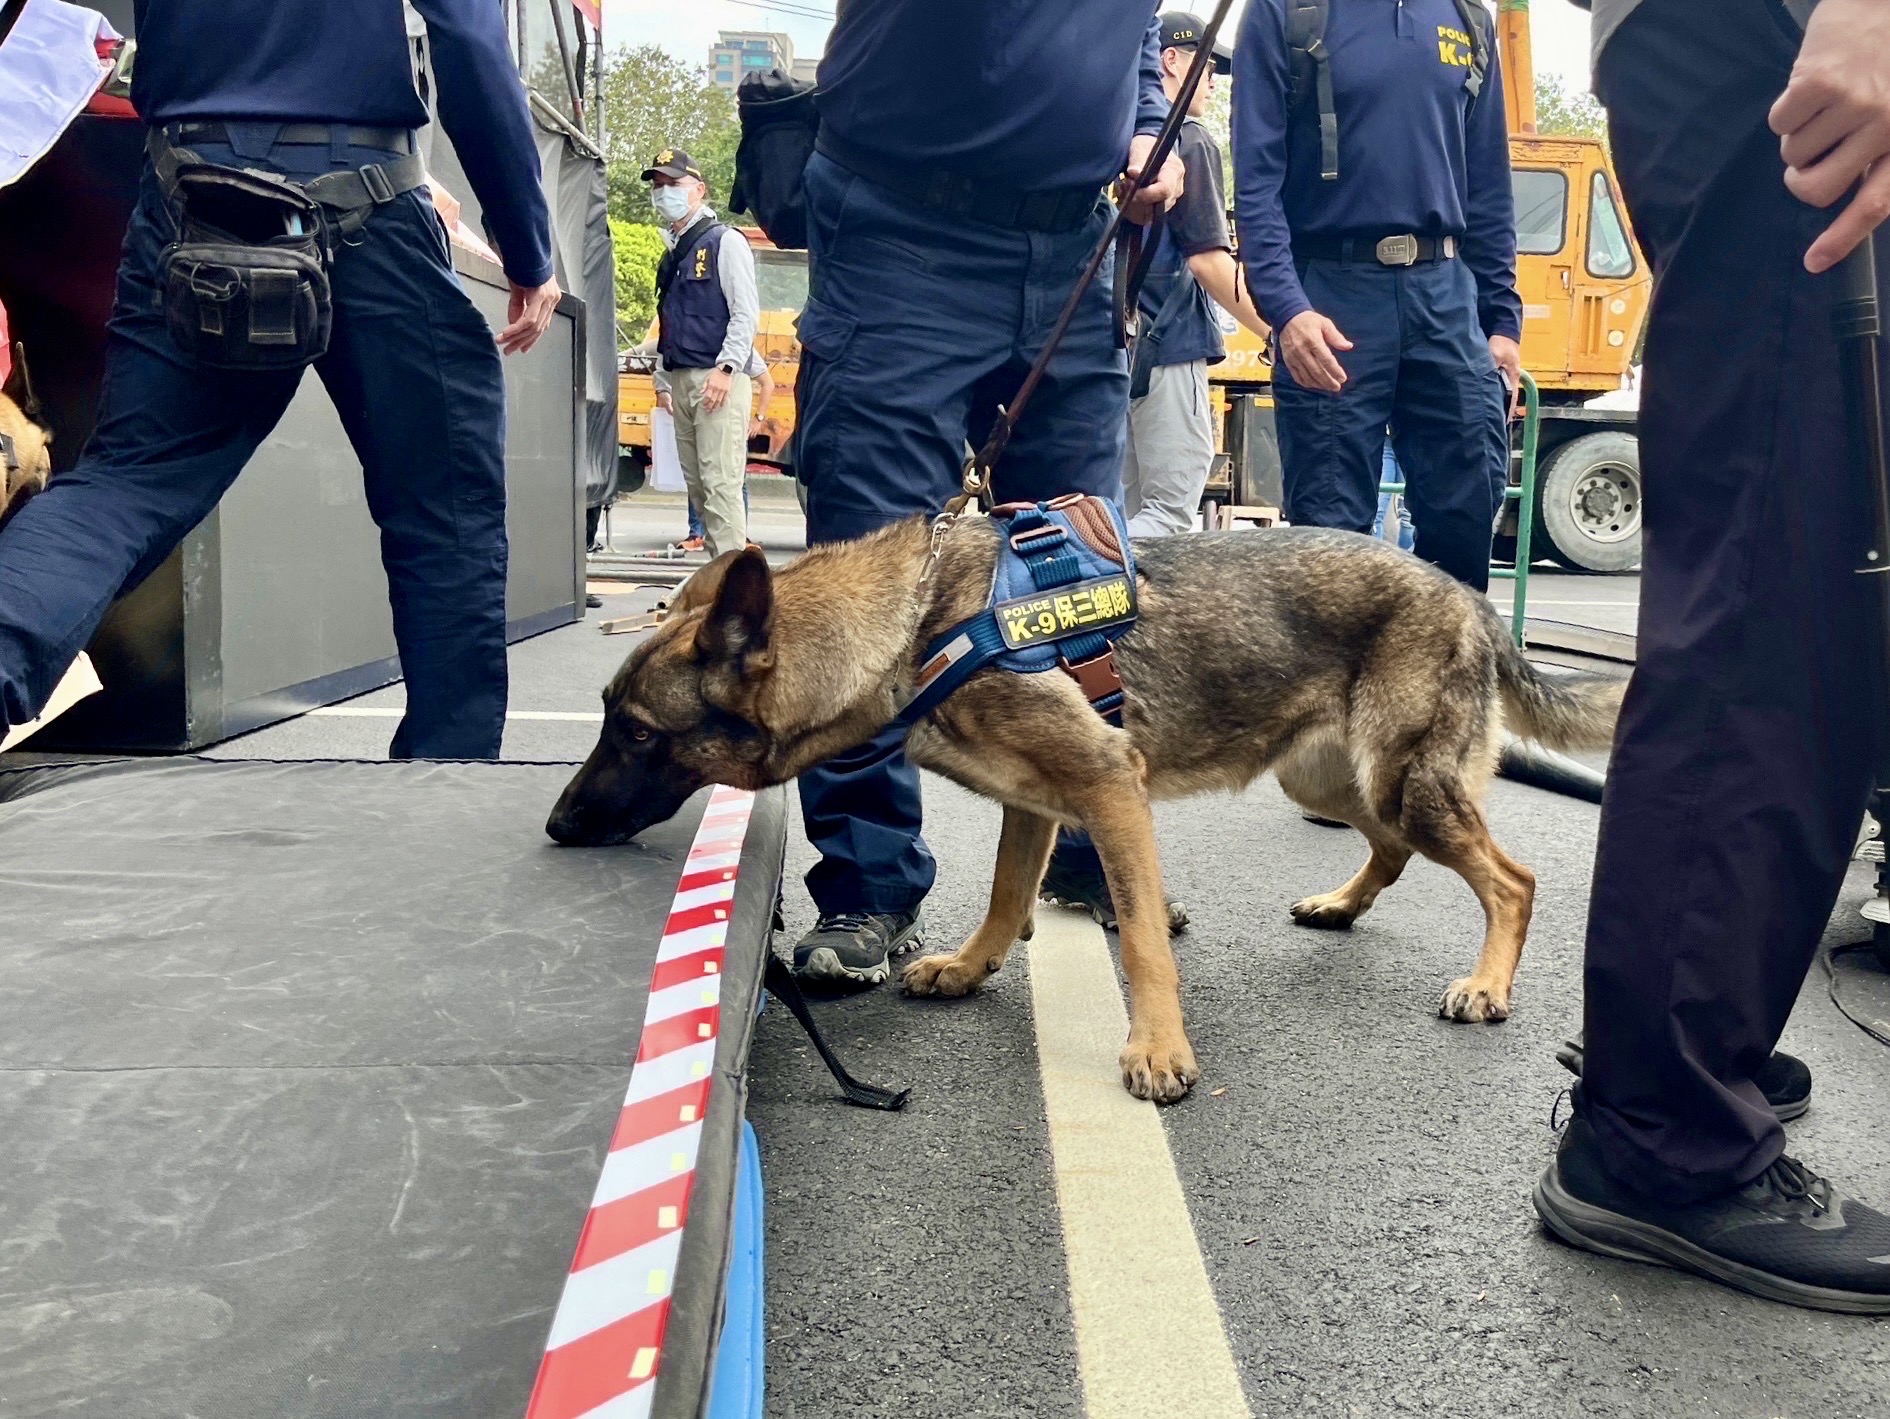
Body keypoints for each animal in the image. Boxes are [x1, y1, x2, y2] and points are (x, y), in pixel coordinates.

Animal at [548, 517, 1625, 1103]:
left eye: (636, 733)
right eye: (606, 718)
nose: (557, 825)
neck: (917, 625)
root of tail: (1467, 591)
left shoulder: (1110, 789)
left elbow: (1143, 940)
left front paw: (1160, 1050)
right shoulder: (1038, 803)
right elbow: (1002, 894)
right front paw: (971, 967)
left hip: (1402, 779)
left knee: (1512, 878)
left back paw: (1486, 983)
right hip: (1329, 779)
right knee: (1394, 851)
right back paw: (1341, 903)